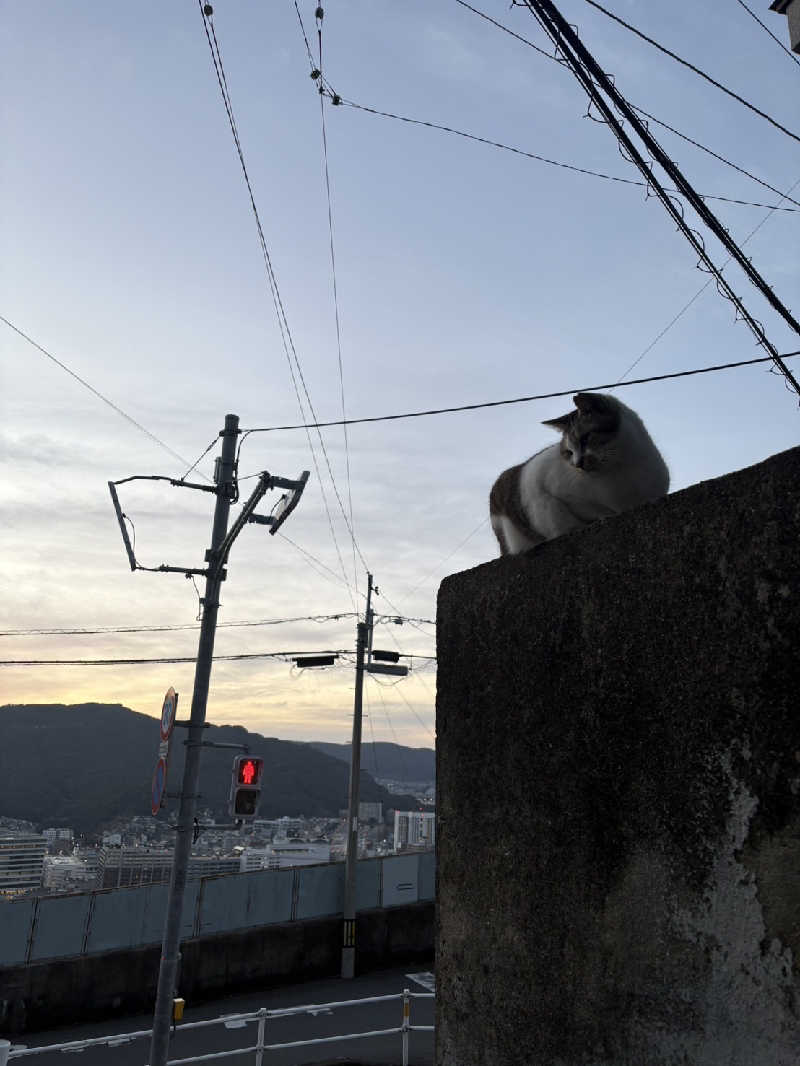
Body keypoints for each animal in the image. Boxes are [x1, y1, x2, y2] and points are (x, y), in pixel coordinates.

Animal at [488, 392, 669, 558]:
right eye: (569, 452)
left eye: (585, 439)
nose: (577, 464)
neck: (622, 465)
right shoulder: (558, 495)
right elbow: (593, 511)